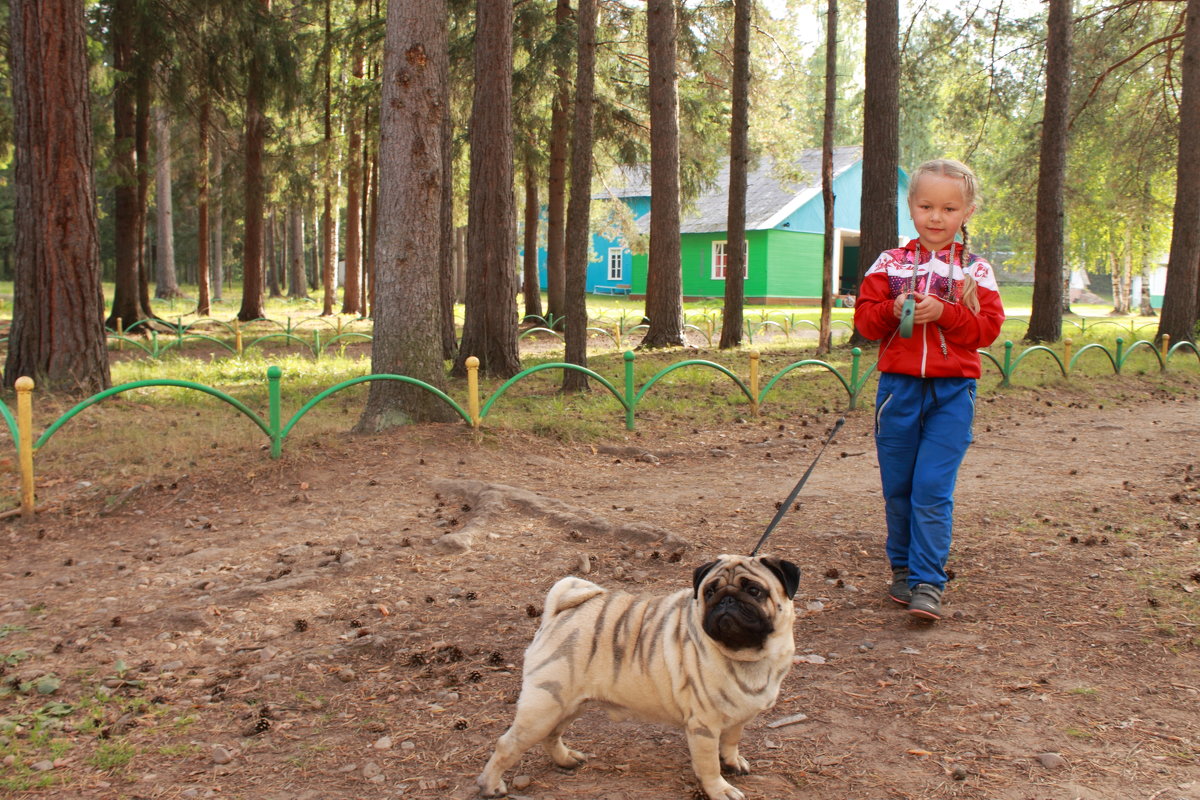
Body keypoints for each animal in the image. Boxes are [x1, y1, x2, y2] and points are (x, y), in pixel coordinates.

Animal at [475, 554, 796, 800]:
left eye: (754, 591)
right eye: (709, 592)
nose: (726, 600)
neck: (747, 655)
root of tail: (559, 612)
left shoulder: (737, 716)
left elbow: (731, 742)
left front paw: (732, 762)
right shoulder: (703, 727)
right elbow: (708, 767)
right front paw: (720, 789)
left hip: (568, 705)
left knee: (552, 736)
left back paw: (566, 760)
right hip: (544, 706)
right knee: (506, 745)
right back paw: (491, 785)